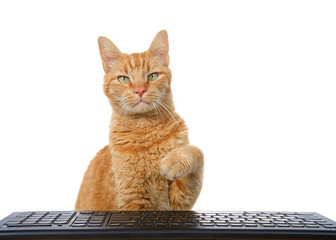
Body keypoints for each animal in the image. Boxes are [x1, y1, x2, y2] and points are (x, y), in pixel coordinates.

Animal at [75, 29, 203, 210]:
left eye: (152, 76)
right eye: (123, 79)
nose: (140, 90)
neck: (145, 130)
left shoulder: (181, 199)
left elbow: (196, 152)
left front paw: (171, 161)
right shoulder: (133, 200)